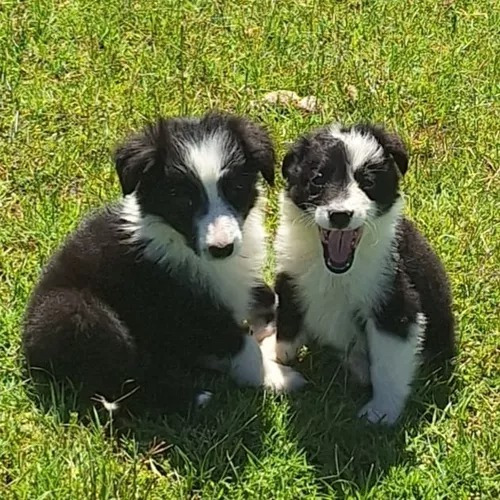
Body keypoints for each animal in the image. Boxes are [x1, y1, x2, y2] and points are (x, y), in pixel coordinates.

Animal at [22, 112, 304, 414]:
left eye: (236, 189)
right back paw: (192, 397)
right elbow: (240, 344)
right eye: (183, 199)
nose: (222, 248)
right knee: (123, 385)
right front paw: (277, 376)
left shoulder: (234, 284)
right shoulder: (184, 307)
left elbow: (266, 295)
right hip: (77, 313)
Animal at [266, 123, 458, 424]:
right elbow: (287, 322)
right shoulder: (290, 277)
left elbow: (387, 365)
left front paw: (382, 412)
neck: (336, 272)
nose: (340, 215)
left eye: (367, 182)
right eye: (317, 180)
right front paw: (279, 355)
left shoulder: (394, 305)